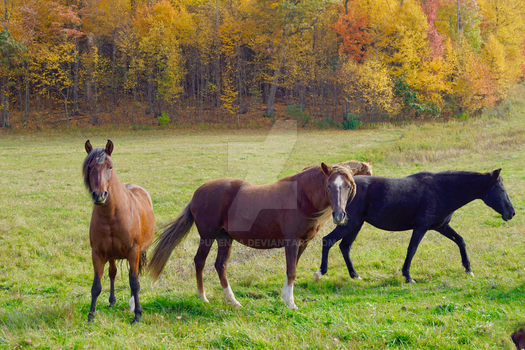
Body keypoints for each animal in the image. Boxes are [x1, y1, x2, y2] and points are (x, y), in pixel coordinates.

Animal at [83, 139, 155, 322]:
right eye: (89, 167)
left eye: (110, 166)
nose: (99, 195)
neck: (111, 216)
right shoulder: (97, 253)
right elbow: (96, 286)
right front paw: (91, 316)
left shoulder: (133, 251)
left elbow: (134, 282)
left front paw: (137, 315)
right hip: (112, 255)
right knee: (113, 273)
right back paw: (112, 302)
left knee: (132, 275)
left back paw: (132, 304)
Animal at [150, 163, 356, 308]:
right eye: (329, 186)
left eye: (348, 186)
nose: (339, 216)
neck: (300, 198)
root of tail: (196, 194)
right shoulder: (292, 241)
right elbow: (291, 270)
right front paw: (291, 303)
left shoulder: (303, 243)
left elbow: (292, 268)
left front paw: (284, 297)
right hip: (207, 237)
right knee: (199, 261)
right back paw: (203, 297)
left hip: (224, 238)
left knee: (220, 265)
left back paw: (233, 301)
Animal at [314, 168, 512, 284]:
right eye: (502, 189)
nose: (511, 212)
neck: (442, 190)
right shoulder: (421, 227)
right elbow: (412, 249)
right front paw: (408, 276)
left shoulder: (441, 226)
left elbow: (460, 241)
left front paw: (468, 269)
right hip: (349, 224)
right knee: (328, 241)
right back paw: (320, 272)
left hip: (355, 225)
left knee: (344, 246)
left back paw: (355, 275)